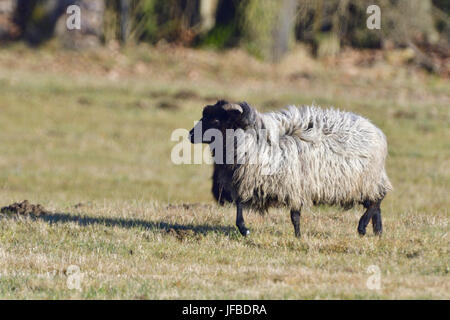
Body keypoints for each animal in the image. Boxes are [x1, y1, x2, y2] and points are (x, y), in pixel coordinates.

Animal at [188, 100, 392, 238]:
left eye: (215, 120)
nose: (190, 135)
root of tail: (376, 130)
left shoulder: (294, 185)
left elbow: (295, 215)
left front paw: (298, 237)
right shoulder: (248, 181)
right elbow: (239, 206)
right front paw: (243, 229)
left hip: (367, 179)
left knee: (377, 200)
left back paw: (363, 227)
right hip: (361, 183)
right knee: (376, 203)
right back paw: (377, 231)